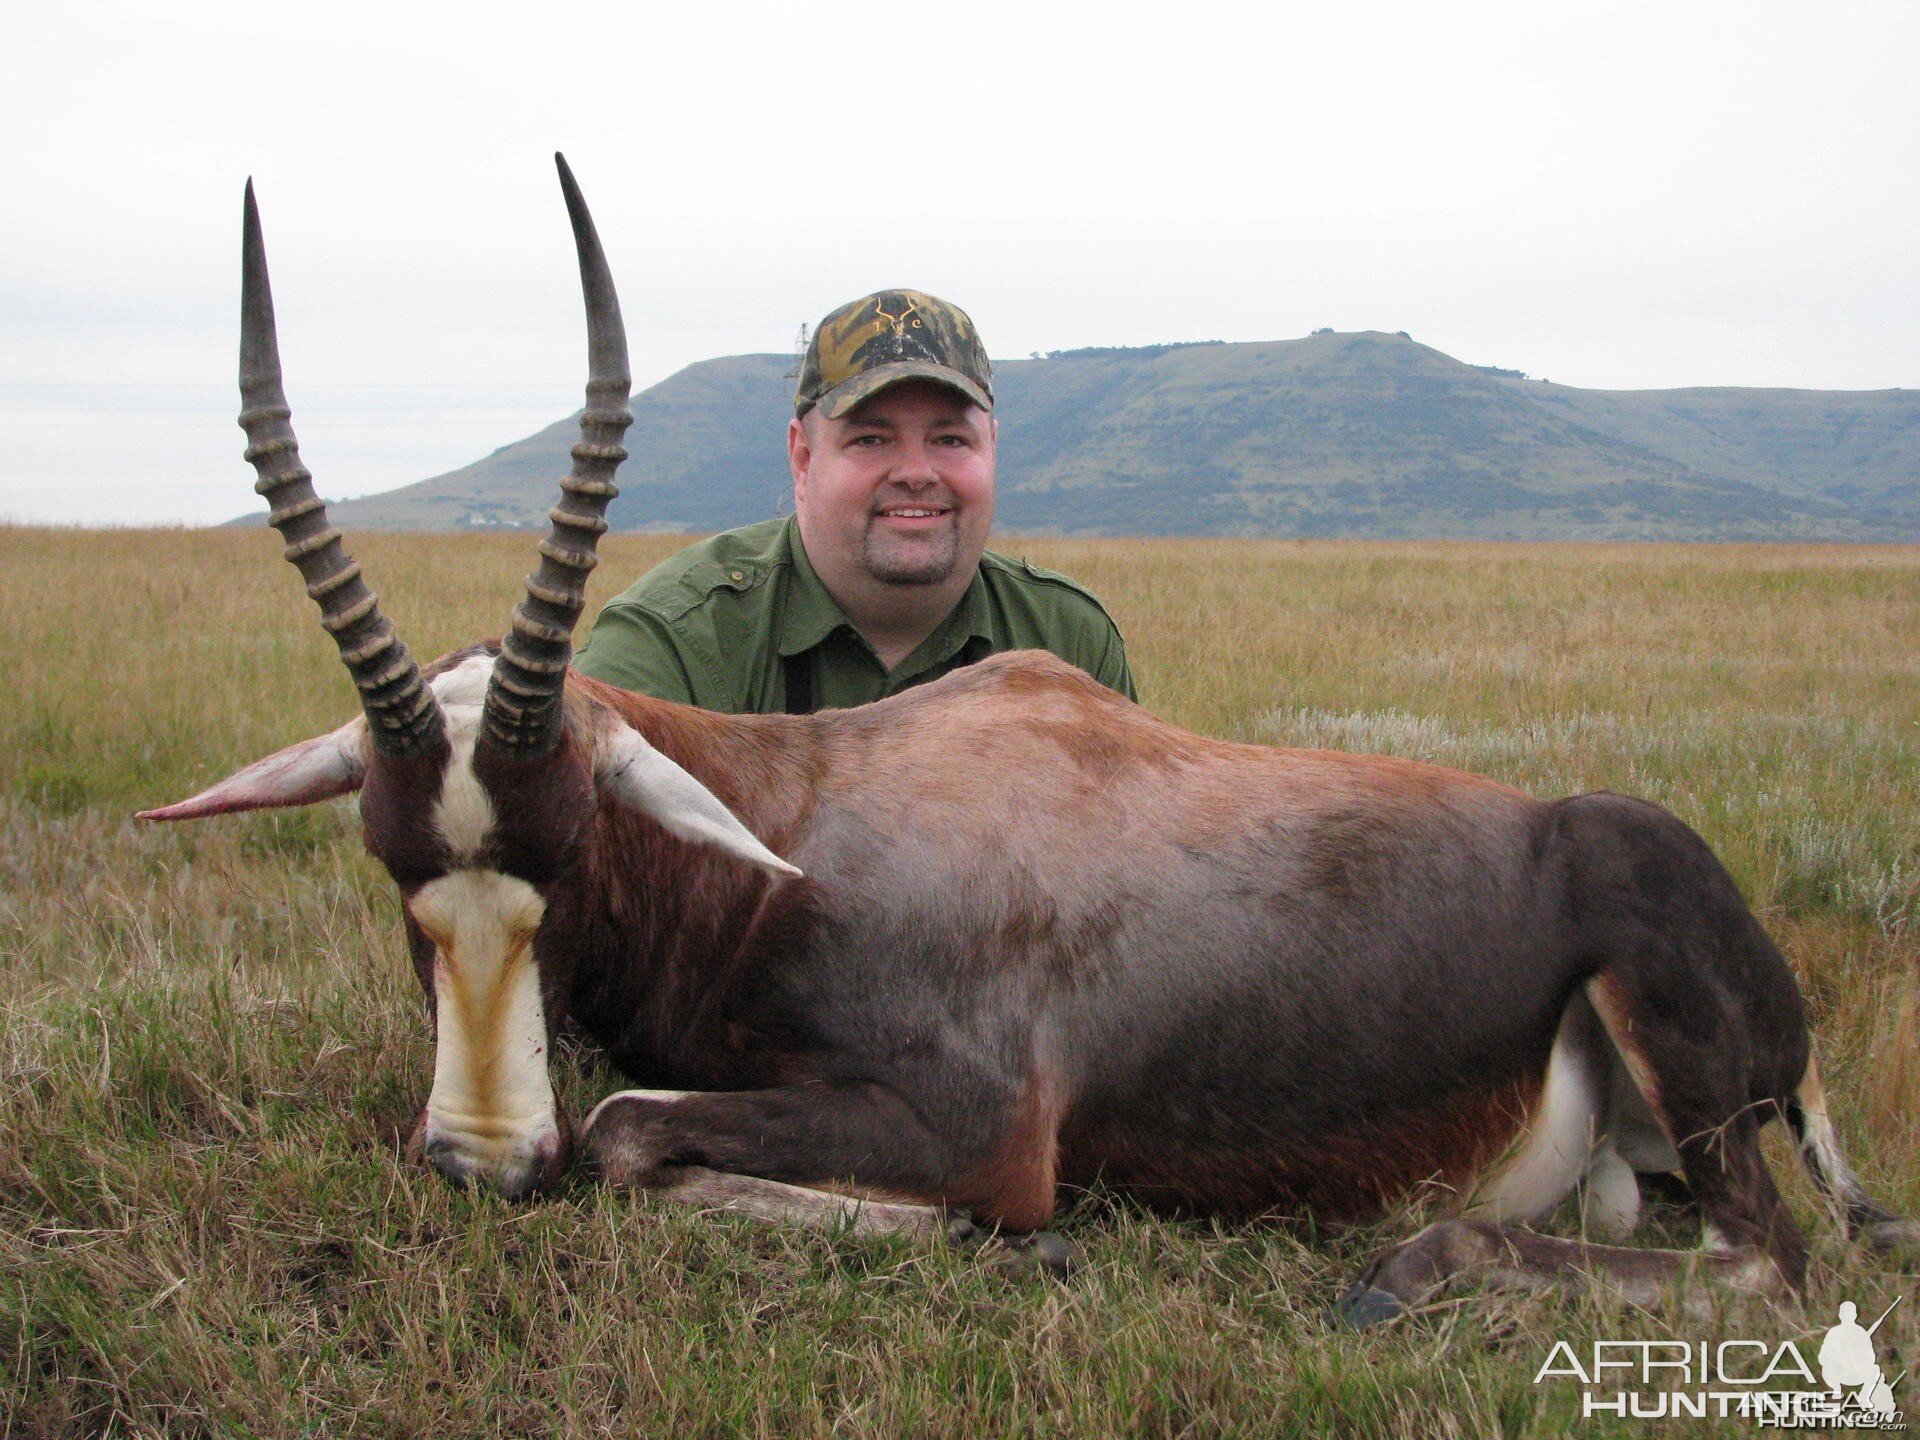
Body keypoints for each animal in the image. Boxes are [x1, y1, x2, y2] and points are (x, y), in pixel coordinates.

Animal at [139, 155, 1904, 1320]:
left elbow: (634, 1133)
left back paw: (1403, 1268)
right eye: (392, 867)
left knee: (1767, 1258)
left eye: (571, 849)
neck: (803, 830)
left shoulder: (982, 1125)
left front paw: (1026, 1240)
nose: (479, 1161)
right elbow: (630, 1137)